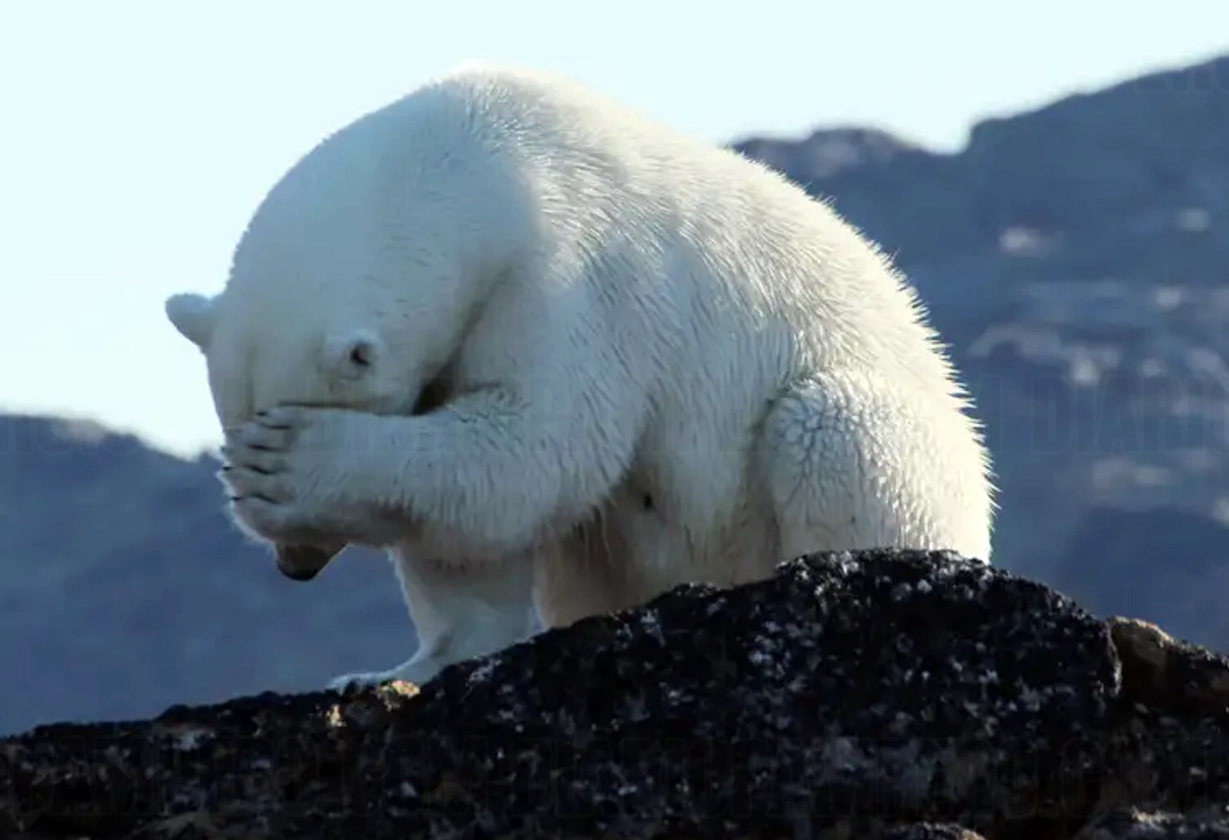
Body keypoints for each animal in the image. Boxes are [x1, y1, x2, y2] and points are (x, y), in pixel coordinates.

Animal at [163, 62, 996, 692]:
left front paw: (289, 464)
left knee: (829, 430)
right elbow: (467, 528)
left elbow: (540, 447)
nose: (295, 567)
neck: (474, 160)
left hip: (902, 447)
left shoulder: (571, 274)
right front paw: (392, 671)